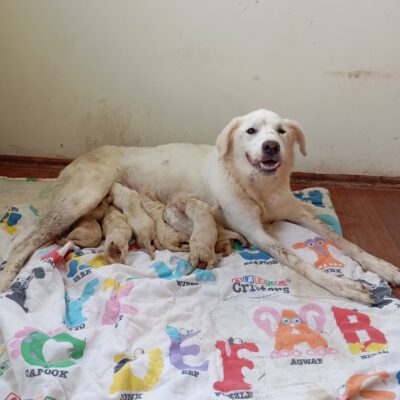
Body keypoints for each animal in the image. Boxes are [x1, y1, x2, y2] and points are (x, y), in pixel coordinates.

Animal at [1, 109, 398, 304]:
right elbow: (299, 261)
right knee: (26, 241)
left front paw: (383, 267)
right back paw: (8, 276)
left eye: (282, 132)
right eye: (251, 131)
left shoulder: (300, 213)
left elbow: (345, 242)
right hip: (83, 196)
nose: (271, 146)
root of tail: (71, 162)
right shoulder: (257, 233)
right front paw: (346, 287)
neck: (259, 186)